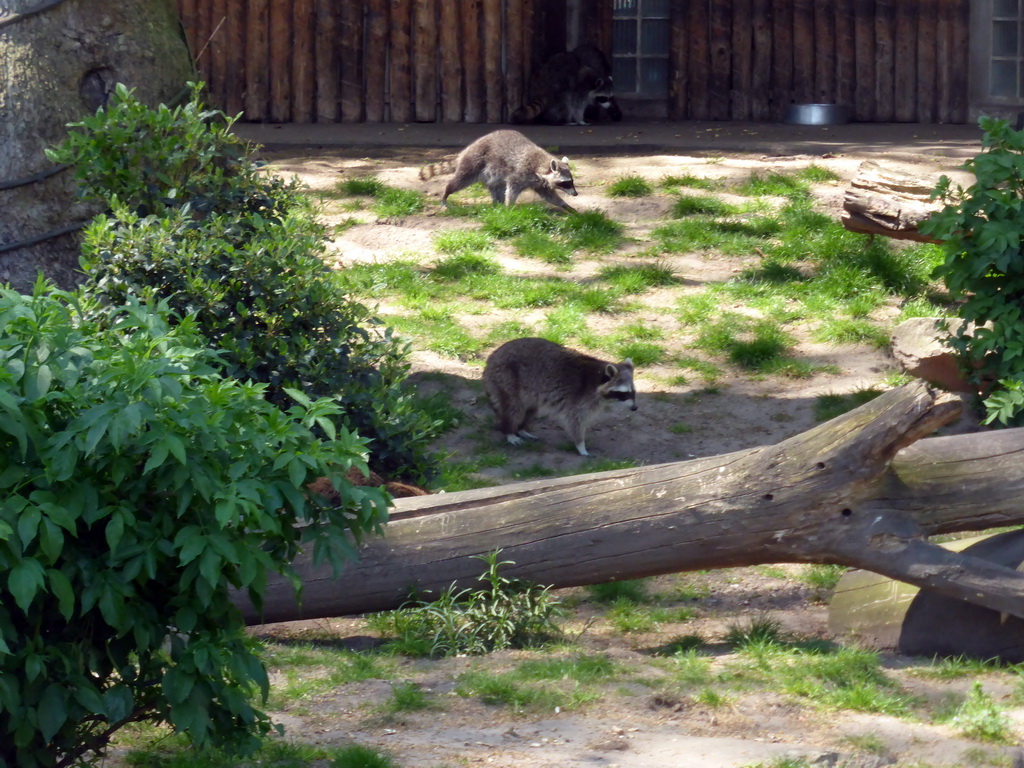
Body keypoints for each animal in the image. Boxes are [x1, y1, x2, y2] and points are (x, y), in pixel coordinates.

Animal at [415, 130, 577, 211]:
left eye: (571, 181)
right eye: (566, 183)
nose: (575, 194)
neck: (541, 165)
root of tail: (468, 149)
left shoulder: (539, 182)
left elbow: (549, 195)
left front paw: (565, 205)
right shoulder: (521, 172)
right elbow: (512, 188)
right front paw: (509, 206)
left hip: (492, 173)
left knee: (496, 187)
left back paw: (496, 204)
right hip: (474, 162)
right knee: (460, 180)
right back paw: (447, 192)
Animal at [483, 337, 634, 456]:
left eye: (632, 392)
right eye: (623, 393)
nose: (635, 408)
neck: (598, 378)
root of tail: (491, 358)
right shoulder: (580, 399)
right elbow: (575, 422)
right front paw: (581, 446)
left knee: (530, 409)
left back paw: (521, 428)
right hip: (506, 378)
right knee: (514, 408)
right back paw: (509, 431)